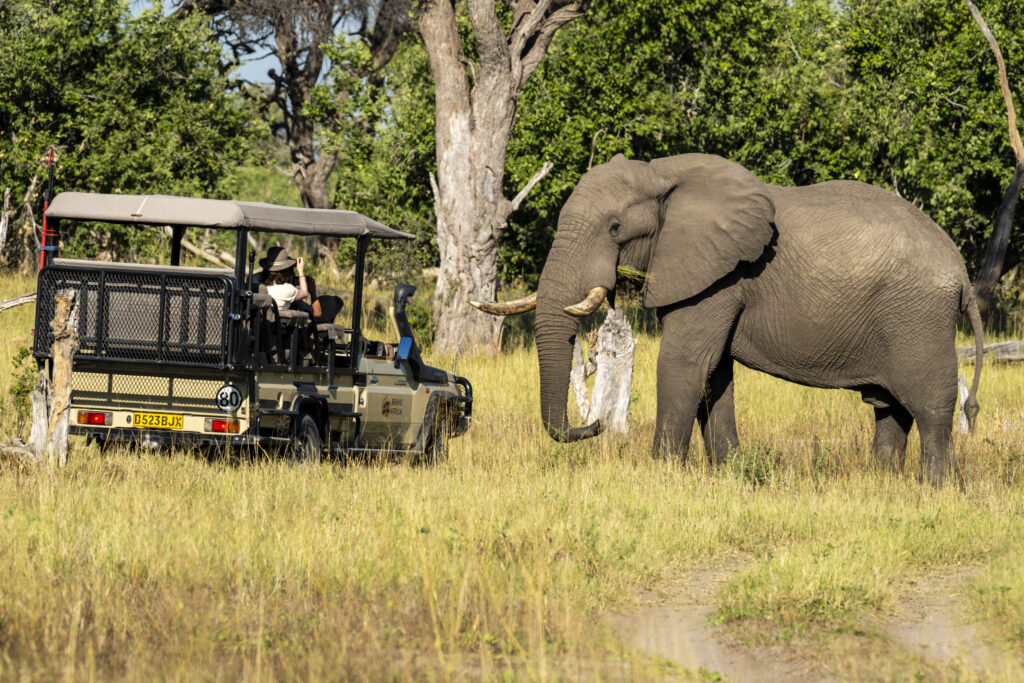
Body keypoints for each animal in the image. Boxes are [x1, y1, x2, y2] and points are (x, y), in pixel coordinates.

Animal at [471, 154, 983, 485]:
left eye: (615, 229)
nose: (593, 428)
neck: (660, 173)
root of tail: (961, 273)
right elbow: (714, 374)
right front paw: (728, 472)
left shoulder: (722, 275)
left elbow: (684, 365)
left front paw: (663, 474)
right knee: (889, 408)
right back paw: (879, 485)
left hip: (917, 318)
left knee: (930, 406)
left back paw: (934, 490)